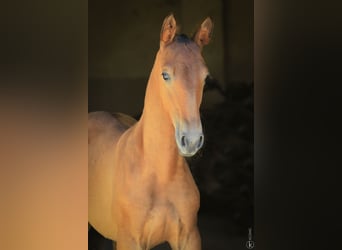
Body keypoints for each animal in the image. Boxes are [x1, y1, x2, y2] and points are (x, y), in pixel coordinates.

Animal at [89, 14, 214, 250]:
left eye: (205, 78)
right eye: (165, 75)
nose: (192, 140)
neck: (160, 174)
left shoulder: (190, 237)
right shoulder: (130, 240)